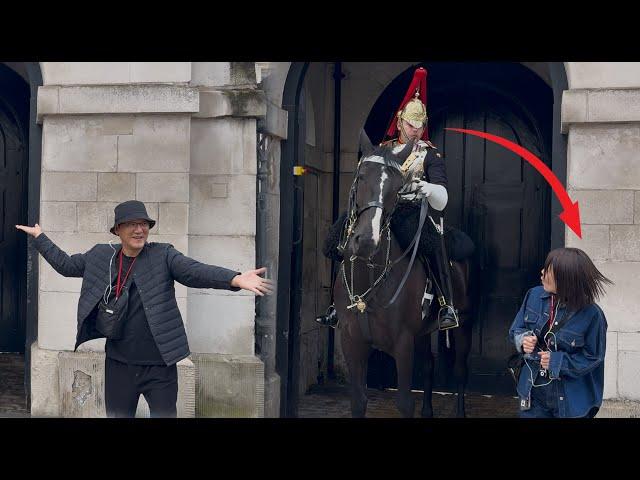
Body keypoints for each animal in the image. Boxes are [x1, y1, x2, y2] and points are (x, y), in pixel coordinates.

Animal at [332, 135, 472, 416]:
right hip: (424, 332)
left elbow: (405, 403)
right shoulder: (351, 341)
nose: (367, 241)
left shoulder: (403, 342)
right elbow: (358, 401)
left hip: (464, 322)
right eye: (360, 176)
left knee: (460, 370)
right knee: (428, 366)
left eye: (397, 188)